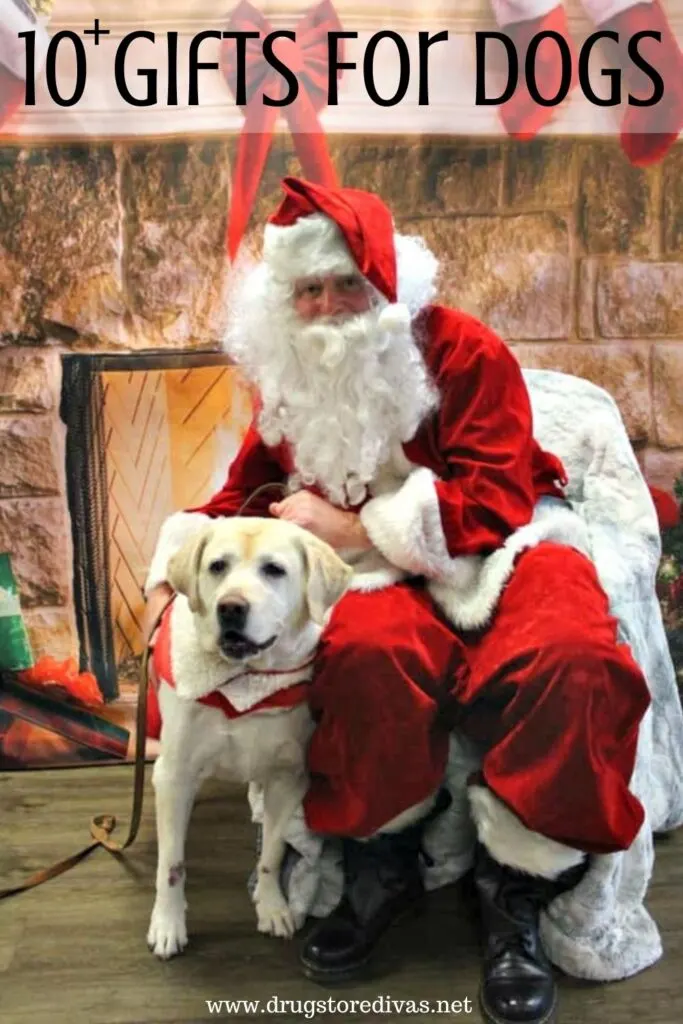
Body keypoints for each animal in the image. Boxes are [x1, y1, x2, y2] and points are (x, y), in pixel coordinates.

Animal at [143, 520, 348, 958]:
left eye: (274, 570)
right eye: (217, 566)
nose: (231, 607)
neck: (244, 681)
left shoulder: (288, 779)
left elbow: (272, 851)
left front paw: (272, 906)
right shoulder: (175, 775)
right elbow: (171, 864)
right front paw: (168, 923)